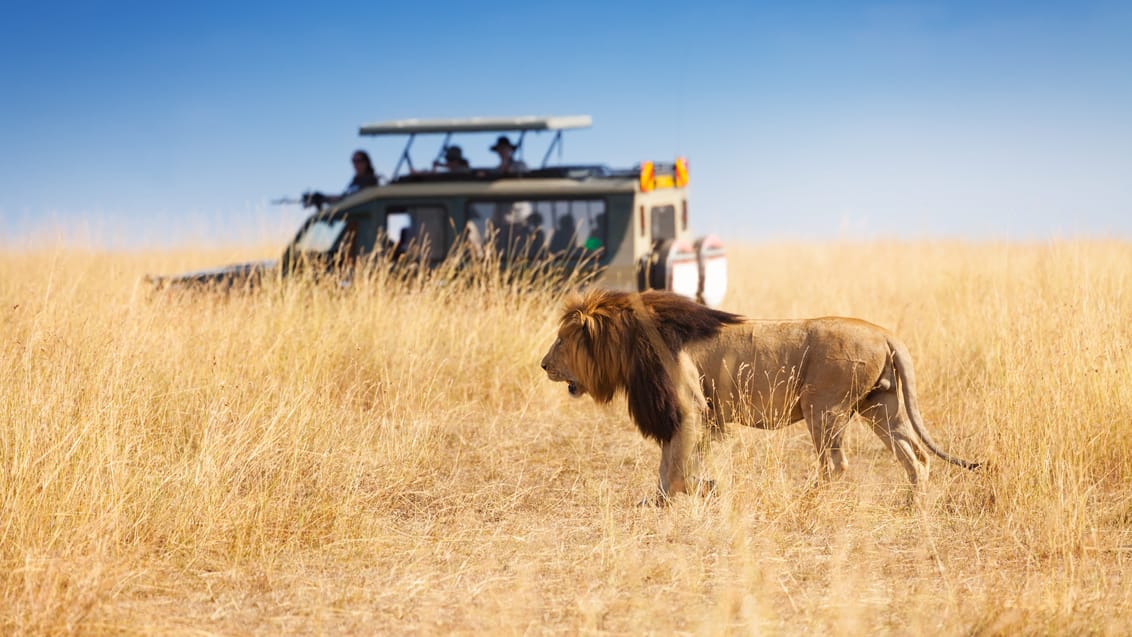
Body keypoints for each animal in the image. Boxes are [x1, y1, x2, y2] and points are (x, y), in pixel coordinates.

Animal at [536, 289, 973, 504]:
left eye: (561, 340)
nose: (543, 364)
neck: (629, 342)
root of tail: (885, 333)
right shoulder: (693, 415)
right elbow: (669, 463)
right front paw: (664, 499)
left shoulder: (688, 408)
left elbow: (675, 466)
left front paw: (698, 491)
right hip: (881, 406)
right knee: (915, 456)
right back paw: (914, 506)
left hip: (823, 407)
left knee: (836, 464)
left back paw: (805, 500)